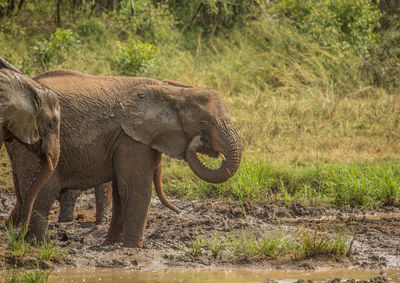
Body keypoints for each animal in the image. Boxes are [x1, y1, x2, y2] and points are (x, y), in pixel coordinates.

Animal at [7, 71, 241, 248]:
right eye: (204, 124)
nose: (200, 140)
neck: (172, 91)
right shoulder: (131, 137)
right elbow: (136, 190)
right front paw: (132, 248)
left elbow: (121, 191)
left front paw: (111, 244)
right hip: (31, 142)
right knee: (44, 193)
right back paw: (40, 246)